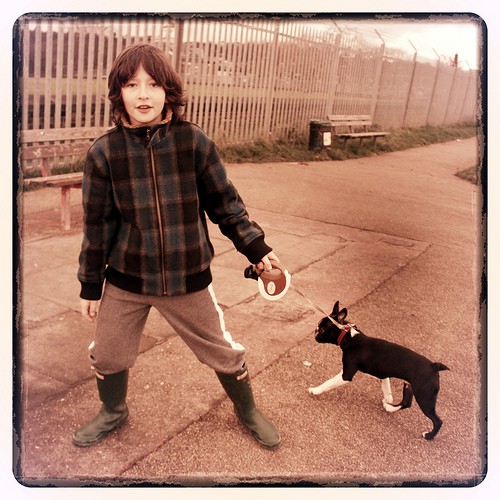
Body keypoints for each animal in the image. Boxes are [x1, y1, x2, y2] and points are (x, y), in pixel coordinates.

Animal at [308, 301, 449, 440]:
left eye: (322, 330)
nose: (315, 331)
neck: (349, 337)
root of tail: (433, 366)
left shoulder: (346, 374)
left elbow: (328, 383)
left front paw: (315, 390)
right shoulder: (382, 373)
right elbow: (386, 387)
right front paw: (388, 398)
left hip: (424, 397)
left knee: (437, 420)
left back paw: (429, 436)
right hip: (410, 386)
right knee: (406, 402)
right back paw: (390, 408)